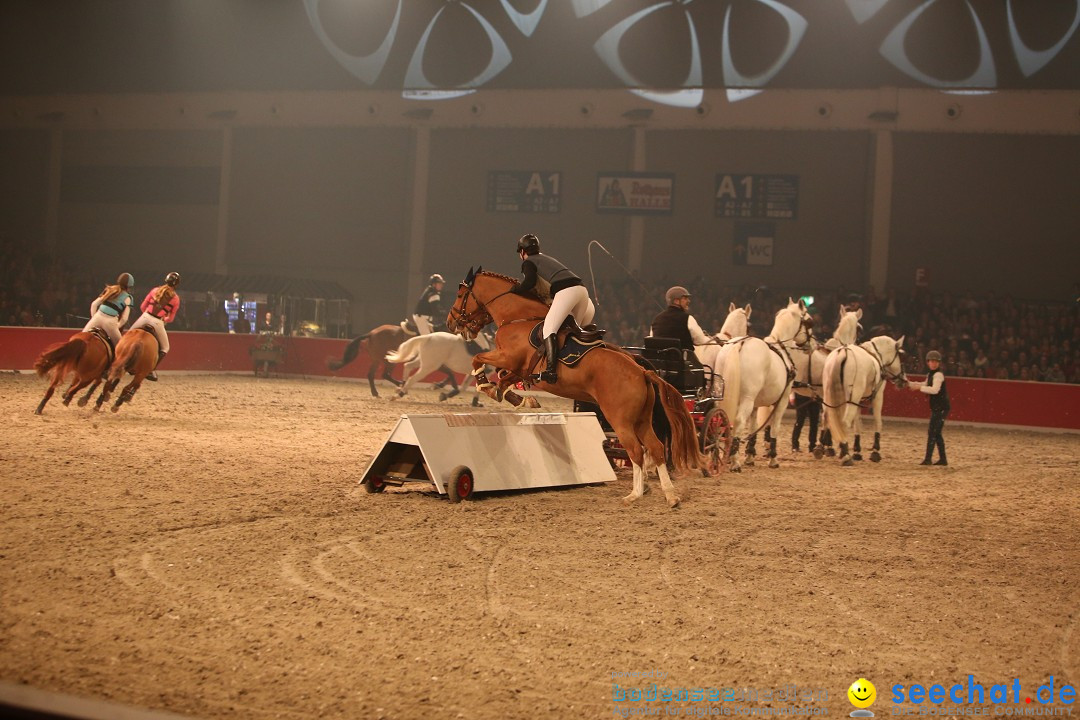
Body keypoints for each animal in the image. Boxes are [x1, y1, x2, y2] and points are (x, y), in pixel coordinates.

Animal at [444, 267, 704, 509]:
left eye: (460, 294)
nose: (450, 322)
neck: (518, 317)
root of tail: (642, 371)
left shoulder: (508, 357)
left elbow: (478, 359)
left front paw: (485, 385)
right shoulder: (518, 368)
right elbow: (503, 380)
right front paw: (518, 398)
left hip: (620, 420)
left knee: (637, 452)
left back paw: (635, 494)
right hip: (641, 420)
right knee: (656, 448)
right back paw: (670, 496)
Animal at [708, 297, 812, 472]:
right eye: (809, 321)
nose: (810, 346)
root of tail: (739, 344)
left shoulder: (756, 405)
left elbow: (753, 427)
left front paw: (750, 456)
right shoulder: (782, 401)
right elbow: (774, 428)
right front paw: (773, 459)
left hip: (721, 394)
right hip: (747, 399)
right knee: (738, 421)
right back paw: (734, 462)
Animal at [820, 334, 907, 468]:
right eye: (899, 355)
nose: (903, 380)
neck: (876, 356)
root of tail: (843, 352)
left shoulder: (858, 401)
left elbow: (857, 425)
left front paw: (857, 452)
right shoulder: (877, 397)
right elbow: (878, 422)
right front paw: (875, 452)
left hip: (830, 395)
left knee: (826, 417)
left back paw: (820, 448)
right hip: (851, 397)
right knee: (844, 421)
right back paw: (845, 455)